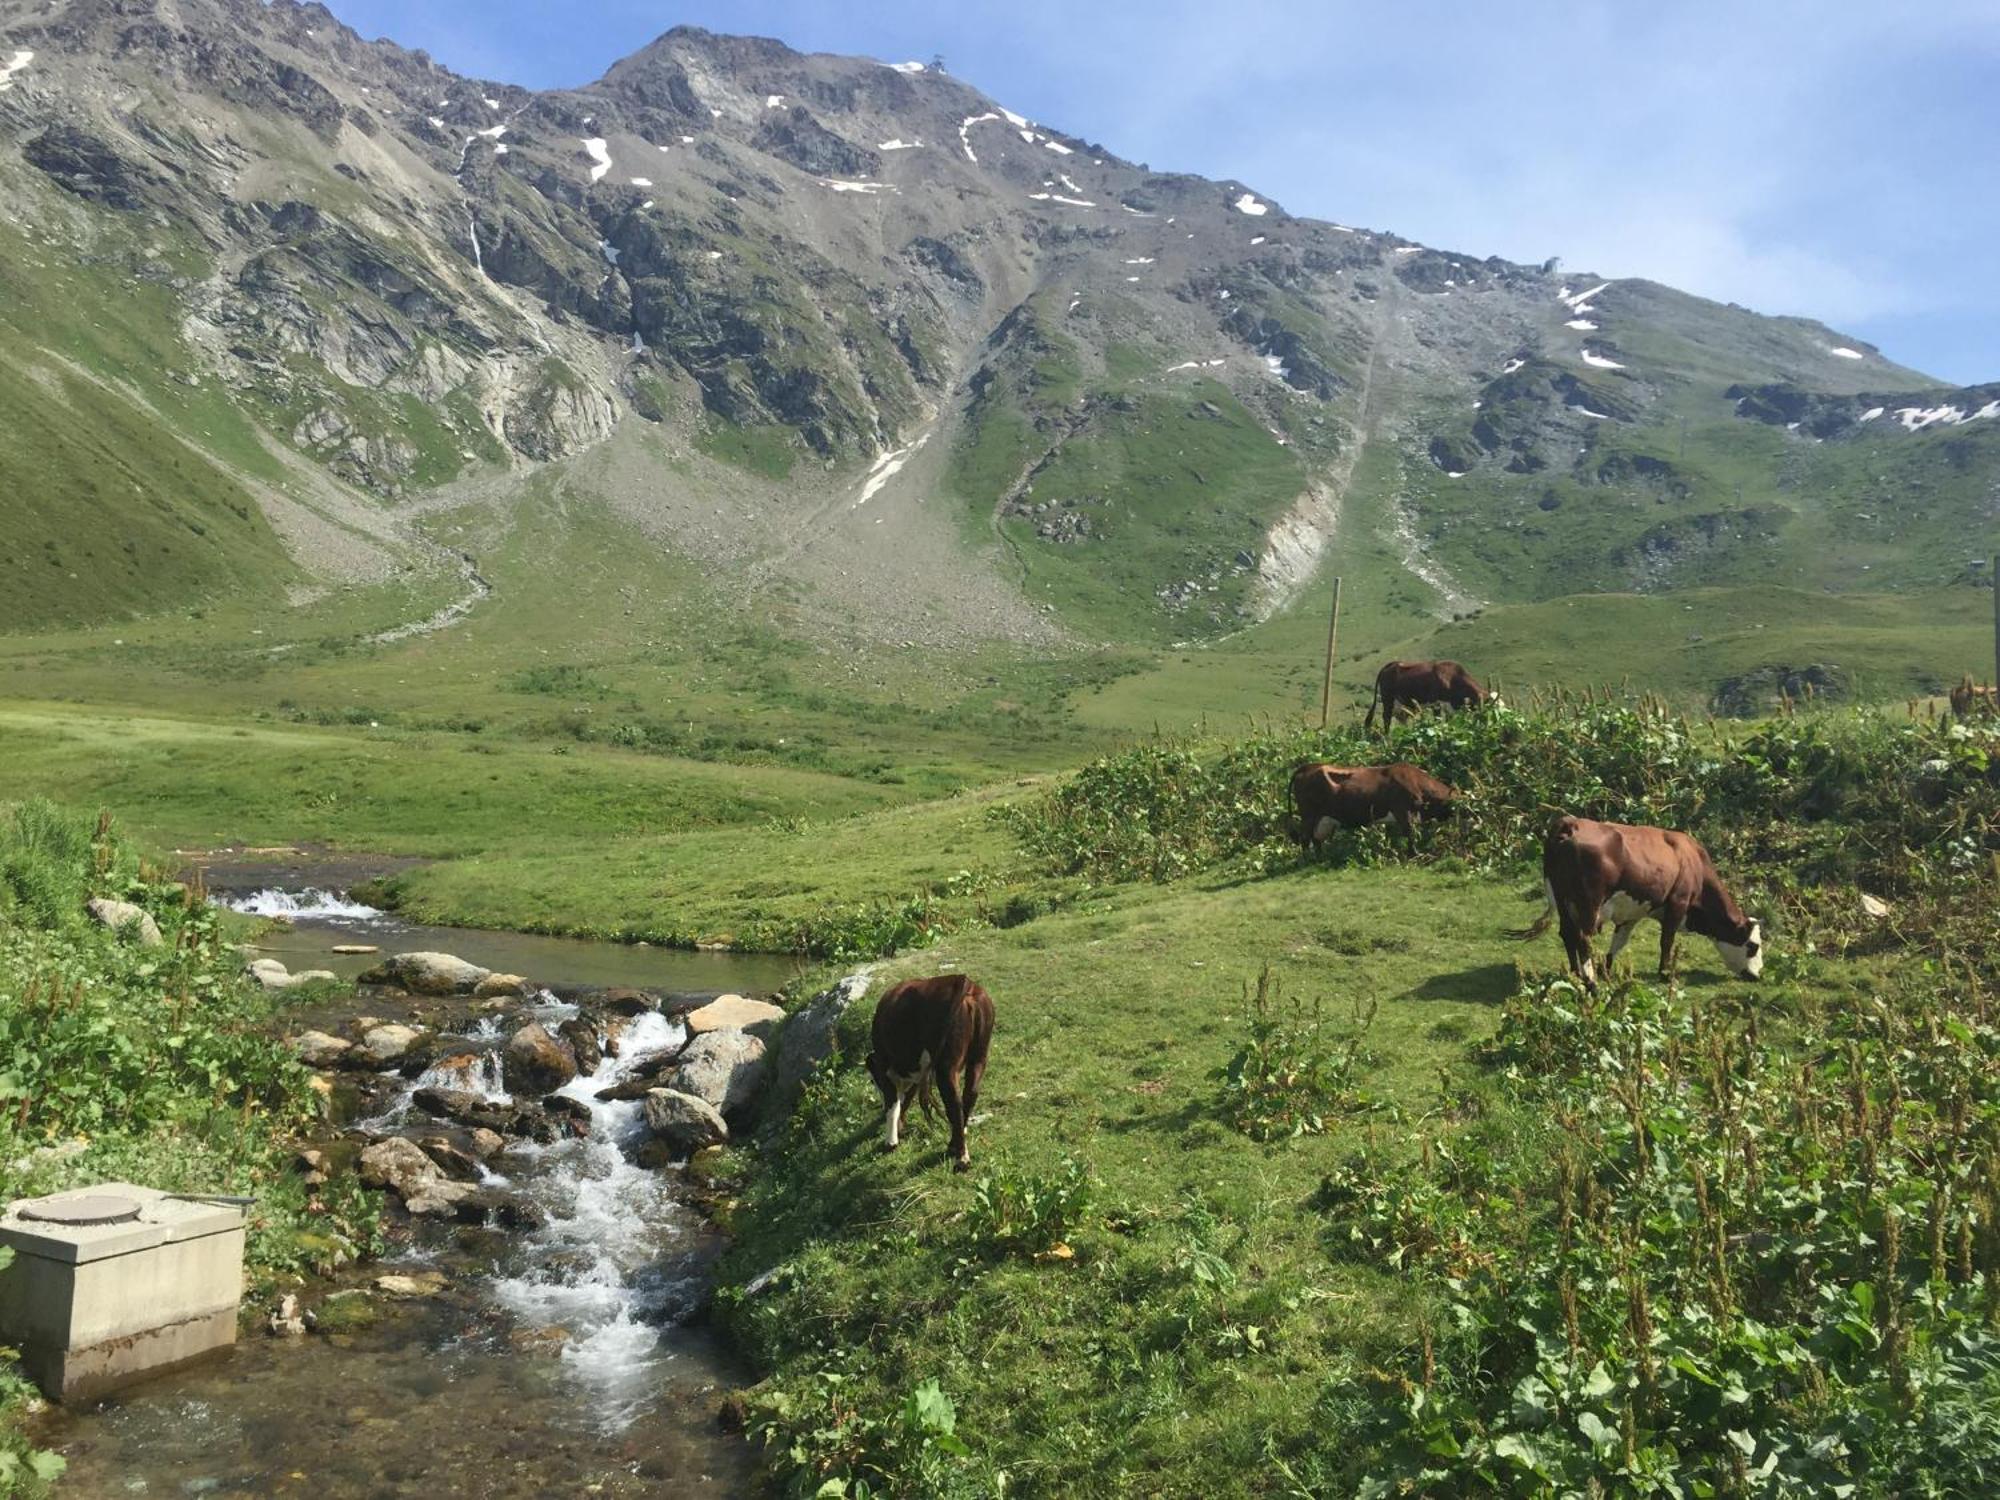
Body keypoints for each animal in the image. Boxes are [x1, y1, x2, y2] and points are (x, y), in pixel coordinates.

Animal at [868, 976, 992, 1176]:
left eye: (873, 1081)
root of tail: (964, 982)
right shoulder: (918, 1073)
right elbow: (906, 1099)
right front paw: (900, 1126)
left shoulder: (884, 1065)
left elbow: (893, 1102)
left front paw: (891, 1140)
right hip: (979, 1055)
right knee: (970, 1095)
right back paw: (954, 1144)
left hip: (946, 1067)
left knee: (954, 1105)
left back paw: (961, 1159)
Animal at [1288, 764, 1464, 848]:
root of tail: (1307, 767)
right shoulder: (1403, 811)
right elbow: (1410, 835)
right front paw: (1413, 856)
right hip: (1308, 815)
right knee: (1305, 839)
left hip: (1322, 818)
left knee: (1316, 839)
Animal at [1360, 656, 1488, 736]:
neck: (1451, 678)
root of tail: (1392, 664)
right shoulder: (1437, 703)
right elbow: (1438, 722)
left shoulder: (1450, 708)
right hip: (1388, 698)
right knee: (1387, 717)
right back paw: (1388, 738)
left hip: (1402, 704)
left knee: (1401, 717)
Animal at [1520, 816, 1760, 992]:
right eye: (1753, 946)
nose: (1758, 975)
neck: (1693, 861)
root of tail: (1571, 823)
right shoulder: (1678, 903)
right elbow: (1666, 941)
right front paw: (1665, 973)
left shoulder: (1631, 914)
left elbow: (1619, 941)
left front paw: (1606, 970)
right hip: (1588, 903)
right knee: (1583, 938)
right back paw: (1591, 982)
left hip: (1563, 902)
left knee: (1568, 935)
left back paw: (1575, 974)